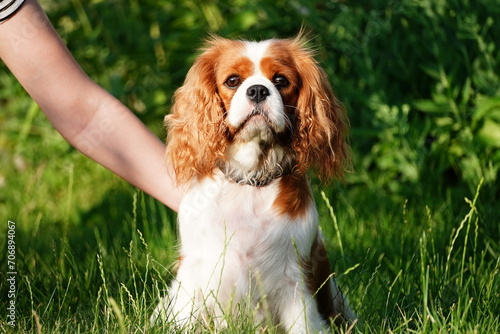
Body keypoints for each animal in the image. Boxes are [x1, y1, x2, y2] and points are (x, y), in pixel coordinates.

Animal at [151, 34, 356, 334]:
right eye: (233, 81)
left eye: (281, 80)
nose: (258, 90)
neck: (250, 179)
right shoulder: (193, 275)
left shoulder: (295, 282)